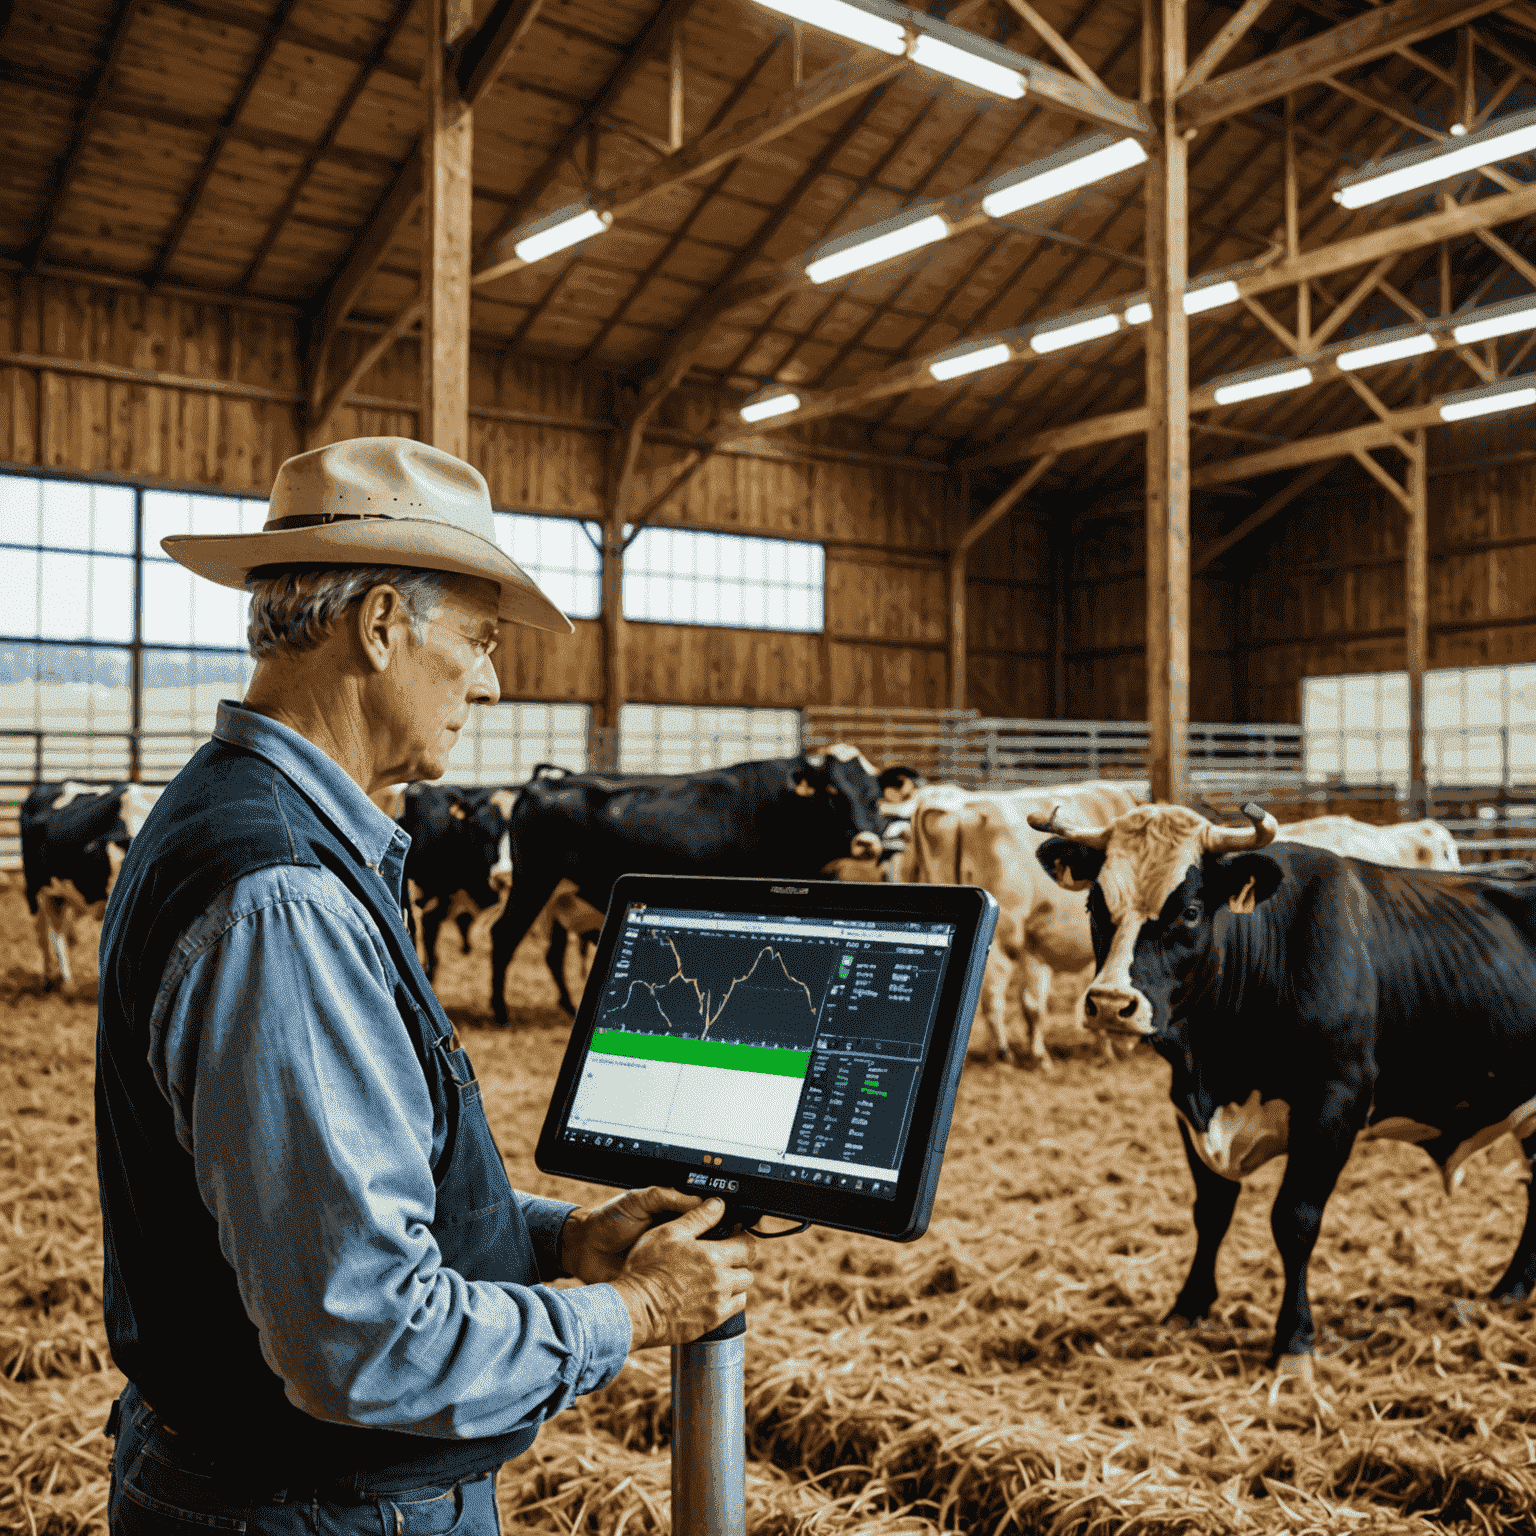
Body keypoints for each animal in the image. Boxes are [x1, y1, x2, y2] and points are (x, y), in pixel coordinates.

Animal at [19, 786, 162, 989]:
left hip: (59, 894)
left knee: (59, 931)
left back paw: (67, 982)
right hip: (34, 889)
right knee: (44, 935)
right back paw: (48, 980)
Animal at [485, 749, 884, 1026]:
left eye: (875, 797)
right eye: (832, 792)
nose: (867, 842)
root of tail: (543, 784)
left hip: (557, 896)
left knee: (551, 953)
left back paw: (568, 1007)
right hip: (533, 881)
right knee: (504, 935)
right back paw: (501, 1012)